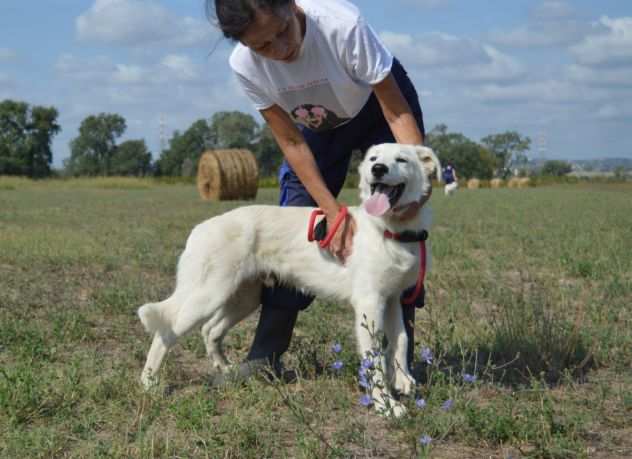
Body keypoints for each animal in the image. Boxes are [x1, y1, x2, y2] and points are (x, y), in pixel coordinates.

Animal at [138, 144, 440, 416]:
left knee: (210, 330)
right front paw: (386, 405)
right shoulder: (369, 303)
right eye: (374, 159)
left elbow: (401, 340)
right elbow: (374, 360)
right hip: (209, 295)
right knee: (166, 332)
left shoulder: (393, 299)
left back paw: (227, 370)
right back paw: (149, 383)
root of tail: (200, 228)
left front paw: (403, 379)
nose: (378, 170)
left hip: (243, 298)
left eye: (401, 159)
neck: (390, 230)